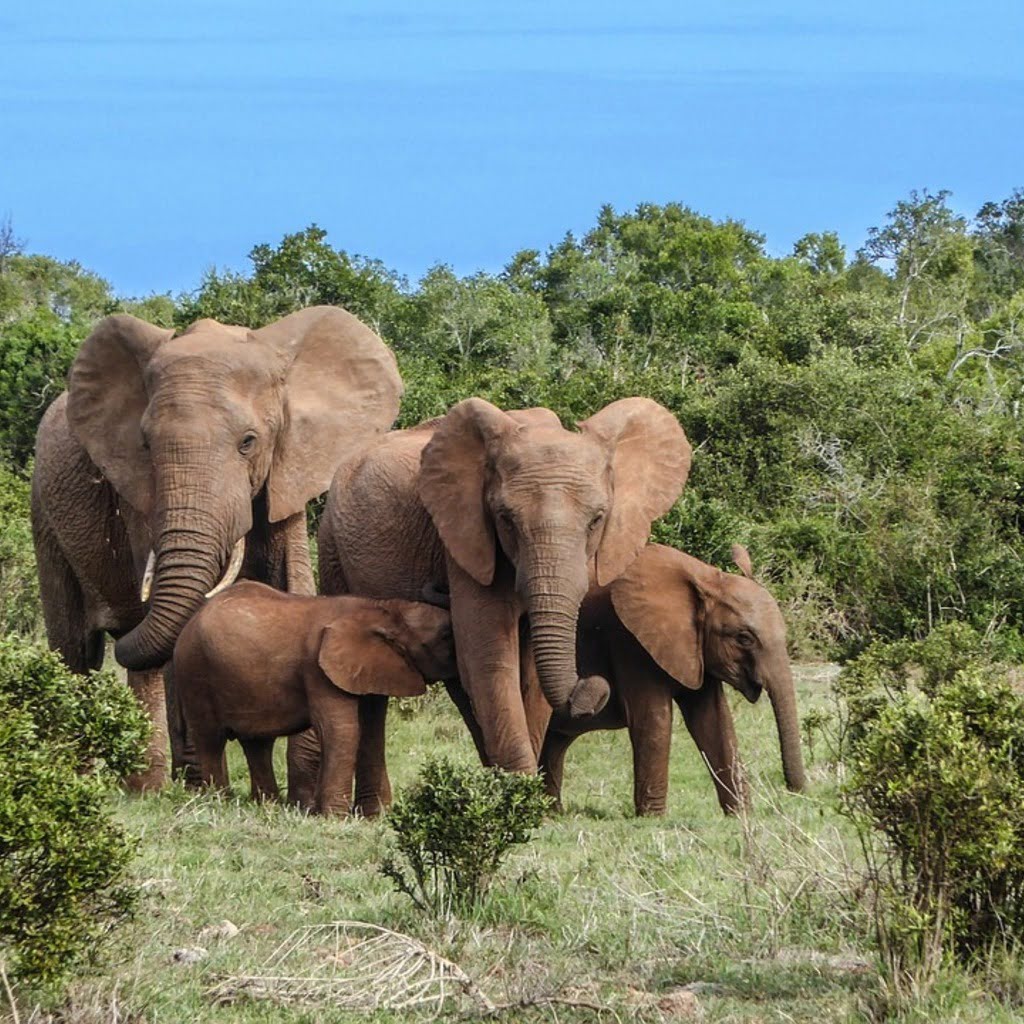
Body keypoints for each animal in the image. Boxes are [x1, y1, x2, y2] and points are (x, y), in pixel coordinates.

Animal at [32, 307, 401, 786]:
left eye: (249, 442)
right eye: (146, 445)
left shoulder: (287, 470)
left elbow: (294, 583)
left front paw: (302, 788)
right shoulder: (137, 493)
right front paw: (202, 784)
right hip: (43, 513)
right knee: (76, 652)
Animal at [173, 585, 456, 815]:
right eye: (445, 636)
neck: (383, 609)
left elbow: (371, 731)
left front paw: (377, 816)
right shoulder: (317, 668)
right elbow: (341, 730)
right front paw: (335, 817)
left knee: (257, 743)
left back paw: (267, 806)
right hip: (193, 671)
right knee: (211, 739)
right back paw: (219, 801)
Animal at [540, 544, 811, 815]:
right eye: (744, 638)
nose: (794, 791)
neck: (707, 578)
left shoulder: (696, 651)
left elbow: (714, 720)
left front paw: (742, 815)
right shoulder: (629, 640)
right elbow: (654, 720)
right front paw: (653, 818)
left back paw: (553, 812)